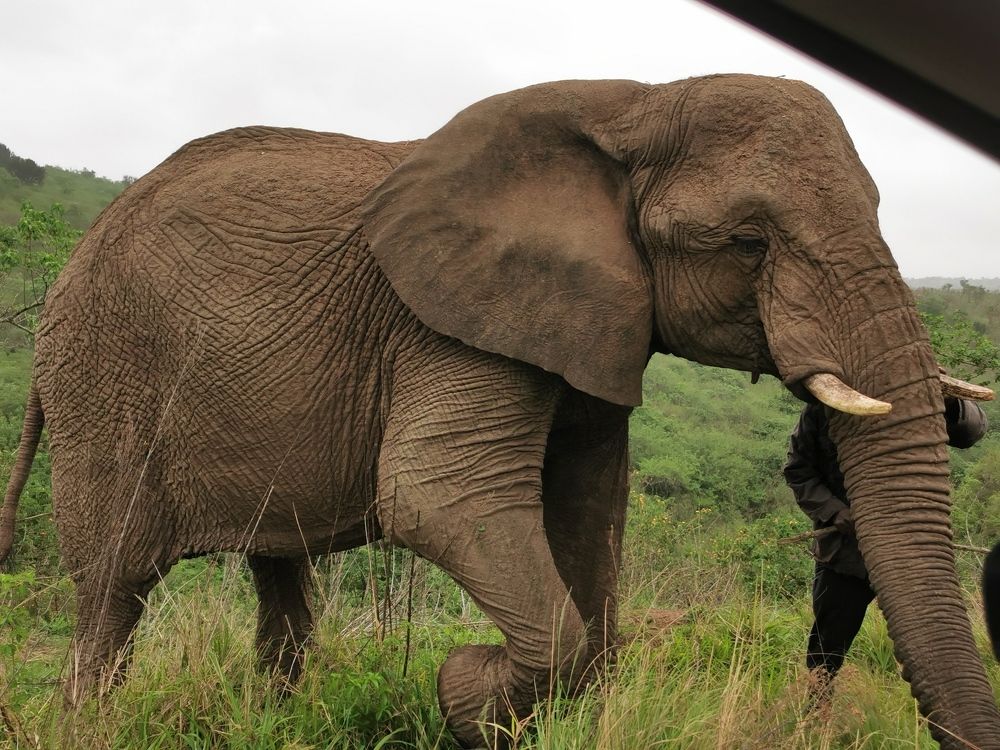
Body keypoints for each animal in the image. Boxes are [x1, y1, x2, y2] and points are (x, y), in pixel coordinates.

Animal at [1, 74, 998, 747]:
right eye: (748, 242)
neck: (634, 106)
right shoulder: (449, 323)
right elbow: (438, 499)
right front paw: (462, 692)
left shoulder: (590, 320)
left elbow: (592, 508)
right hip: (105, 376)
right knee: (113, 587)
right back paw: (87, 723)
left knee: (278, 575)